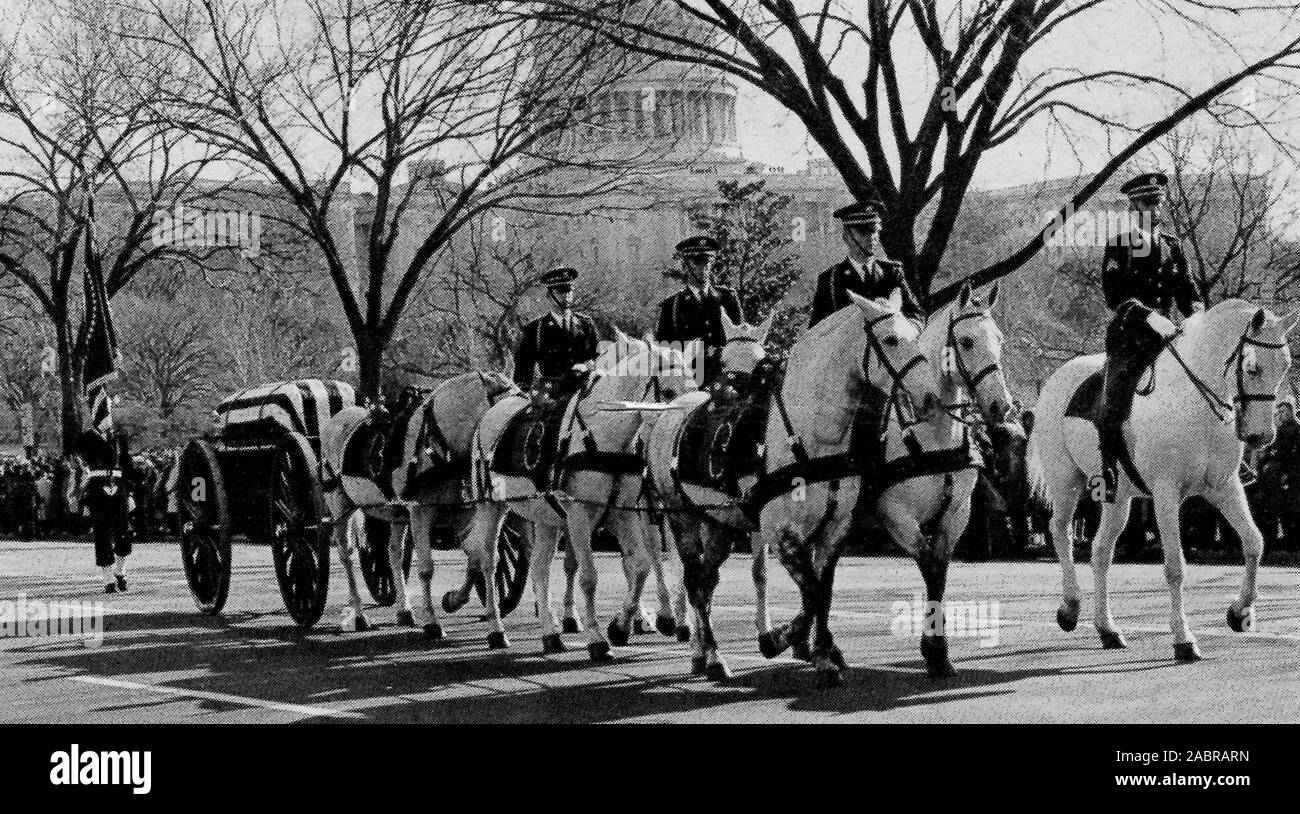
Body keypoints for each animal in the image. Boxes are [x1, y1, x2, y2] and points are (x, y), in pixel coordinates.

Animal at [460, 332, 696, 655]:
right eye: (669, 390)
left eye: (694, 387)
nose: (679, 436)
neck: (605, 435)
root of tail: (491, 415)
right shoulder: (579, 516)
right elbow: (588, 576)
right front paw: (597, 637)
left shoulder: (623, 514)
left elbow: (640, 565)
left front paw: (620, 626)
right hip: (491, 508)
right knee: (487, 559)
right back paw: (497, 629)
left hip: (545, 518)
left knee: (539, 569)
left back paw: (551, 634)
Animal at [1029, 299, 1294, 660]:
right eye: (1252, 368)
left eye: (1285, 365)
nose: (1260, 436)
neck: (1192, 401)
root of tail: (1056, 379)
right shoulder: (1166, 494)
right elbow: (1175, 567)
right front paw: (1184, 638)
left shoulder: (1225, 486)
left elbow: (1255, 542)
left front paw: (1239, 612)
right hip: (1065, 481)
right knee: (1060, 531)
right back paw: (1070, 607)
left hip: (1118, 497)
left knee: (1100, 552)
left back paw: (1107, 629)